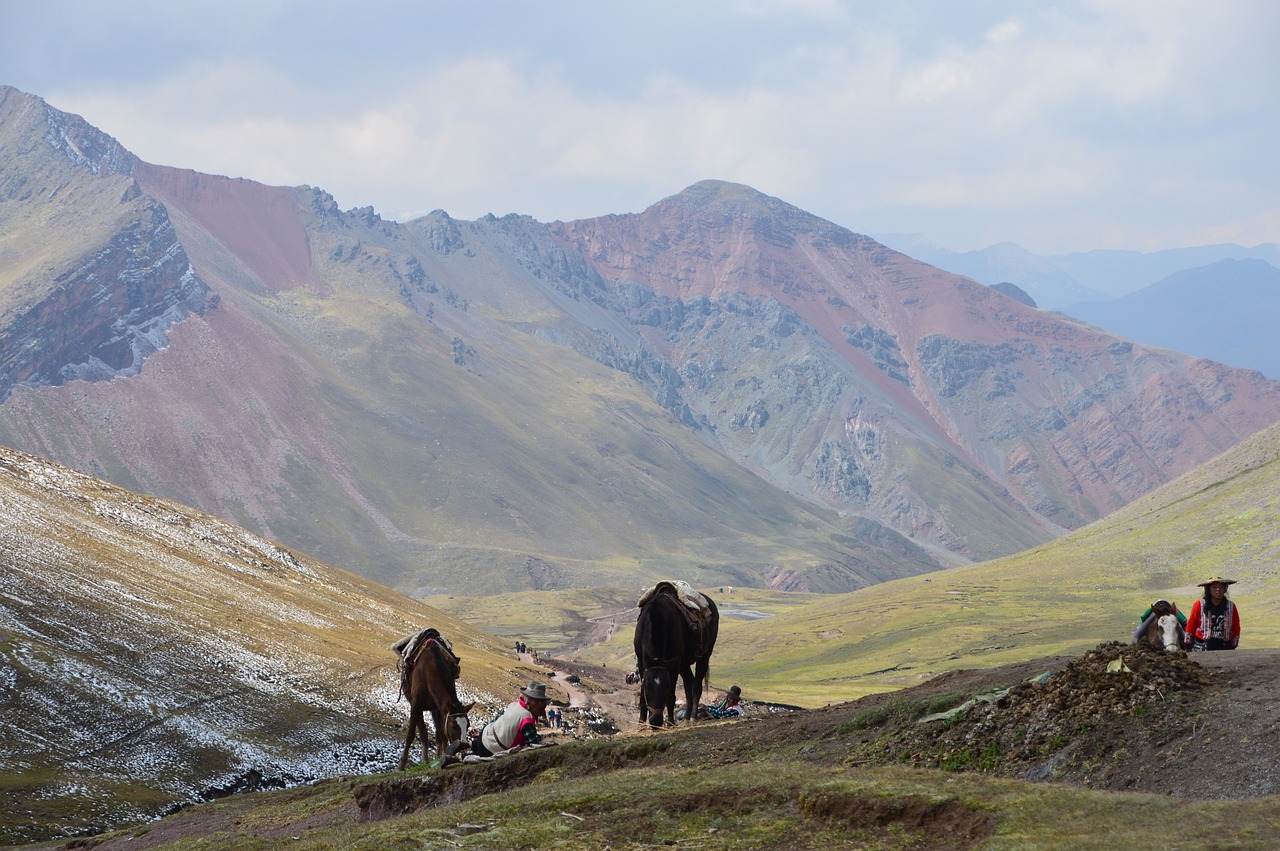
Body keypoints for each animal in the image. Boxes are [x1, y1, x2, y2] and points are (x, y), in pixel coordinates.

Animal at [389, 624, 476, 767]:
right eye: (454, 726)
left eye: (468, 725)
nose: (463, 747)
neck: (428, 671)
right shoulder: (416, 704)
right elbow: (411, 734)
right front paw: (401, 765)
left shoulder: (440, 707)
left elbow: (441, 734)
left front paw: (443, 757)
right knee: (423, 732)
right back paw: (425, 759)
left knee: (437, 734)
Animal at [632, 580, 716, 726]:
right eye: (648, 686)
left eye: (666, 687)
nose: (655, 722)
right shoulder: (642, 661)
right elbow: (642, 696)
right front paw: (641, 723)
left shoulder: (674, 663)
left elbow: (672, 696)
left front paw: (670, 722)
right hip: (684, 664)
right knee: (689, 684)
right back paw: (686, 718)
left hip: (704, 657)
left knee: (696, 686)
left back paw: (692, 718)